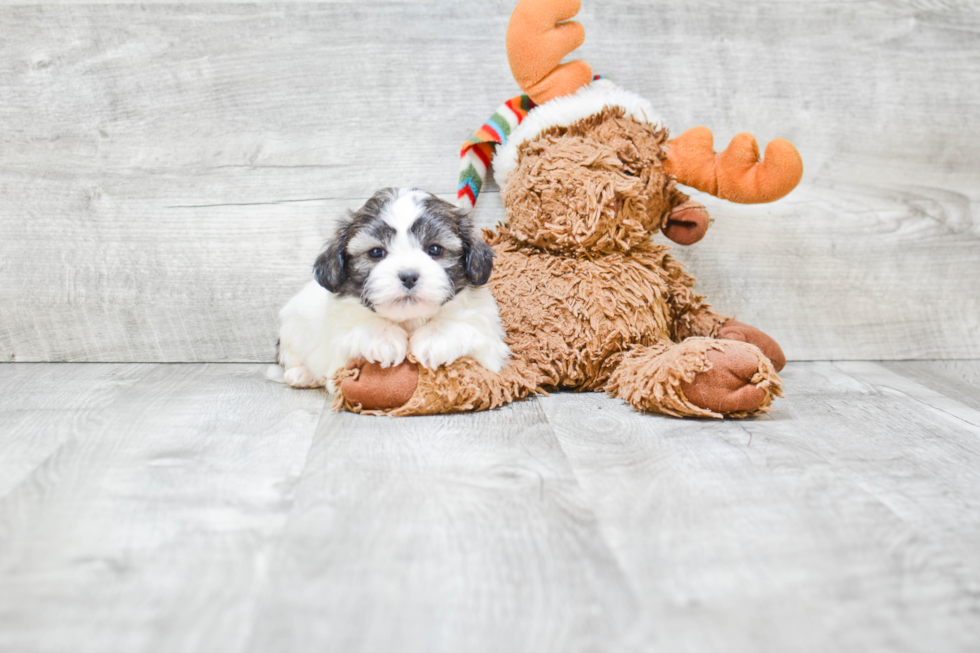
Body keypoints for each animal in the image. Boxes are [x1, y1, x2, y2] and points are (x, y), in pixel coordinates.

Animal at [274, 186, 510, 390]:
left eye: (435, 249)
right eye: (376, 252)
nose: (408, 276)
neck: (409, 319)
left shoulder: (489, 347)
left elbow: (464, 325)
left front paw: (435, 337)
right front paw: (383, 337)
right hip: (292, 328)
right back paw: (301, 374)